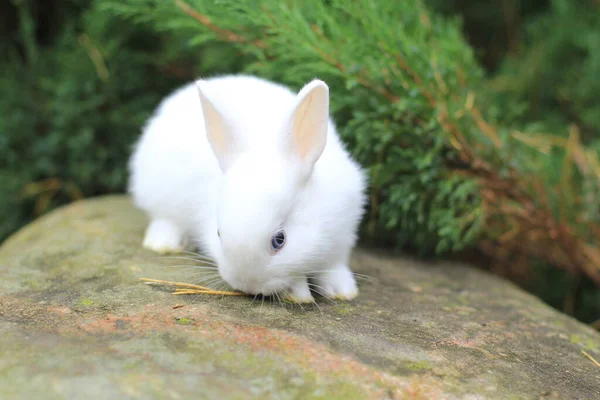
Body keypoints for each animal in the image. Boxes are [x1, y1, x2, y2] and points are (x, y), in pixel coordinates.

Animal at [129, 73, 368, 302]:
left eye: (279, 240)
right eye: (218, 233)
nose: (247, 286)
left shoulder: (341, 237)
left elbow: (334, 267)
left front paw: (342, 291)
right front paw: (298, 293)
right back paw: (163, 244)